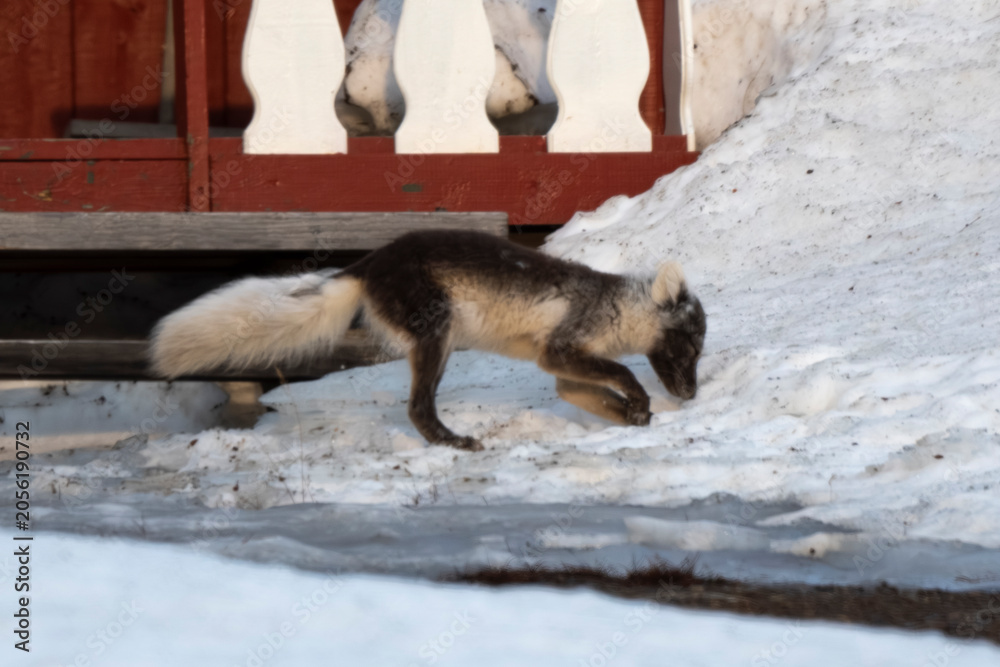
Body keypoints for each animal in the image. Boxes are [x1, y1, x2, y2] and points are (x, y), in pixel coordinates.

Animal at [150, 230, 706, 450]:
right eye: (692, 348)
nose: (693, 395)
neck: (618, 306)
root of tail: (368, 262)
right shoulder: (564, 347)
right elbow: (624, 370)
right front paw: (639, 404)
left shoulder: (561, 371)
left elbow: (588, 392)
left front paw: (633, 418)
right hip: (437, 333)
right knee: (417, 408)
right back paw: (454, 443)